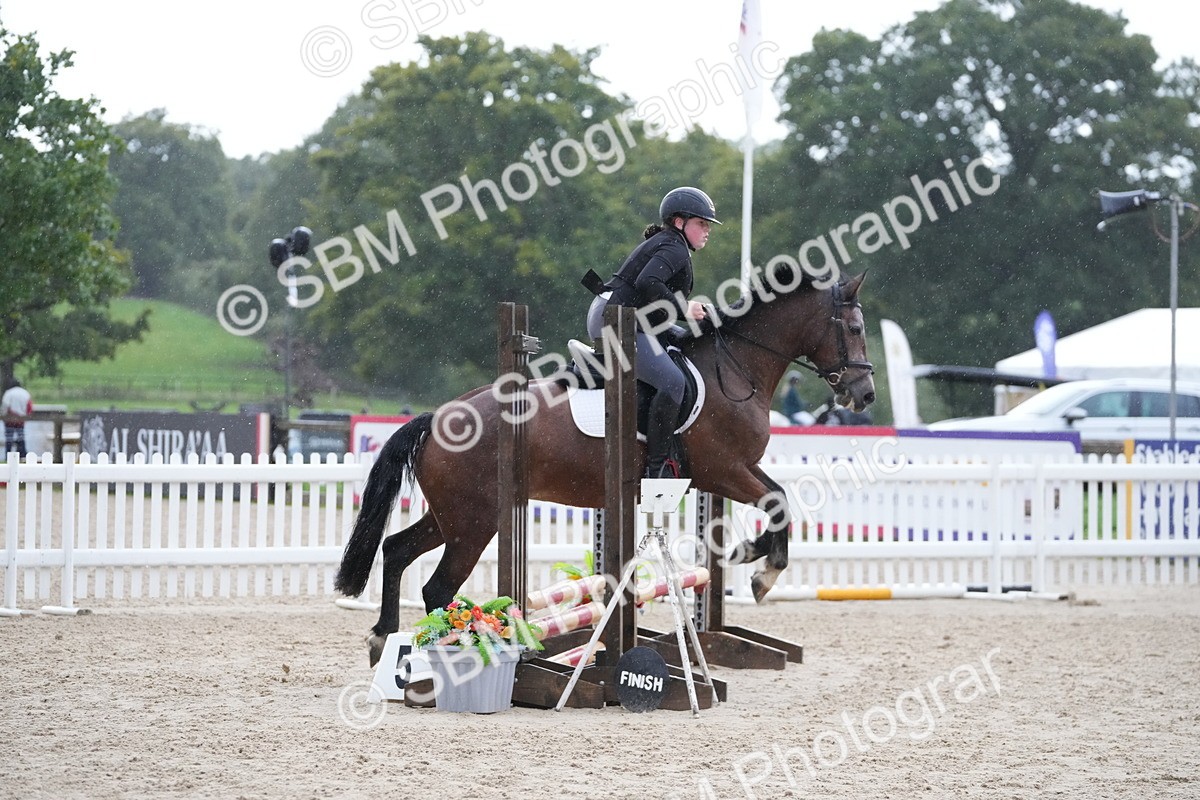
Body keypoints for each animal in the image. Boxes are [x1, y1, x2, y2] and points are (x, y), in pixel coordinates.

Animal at [336, 267, 875, 665]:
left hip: (453, 515)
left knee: (397, 549)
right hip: (475, 522)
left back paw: (383, 638)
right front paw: (764, 572)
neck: (736, 367)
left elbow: (779, 501)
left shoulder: (732, 472)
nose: (864, 394)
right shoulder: (722, 470)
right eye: (854, 329)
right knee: (437, 586)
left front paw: (748, 553)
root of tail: (437, 417)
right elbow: (779, 501)